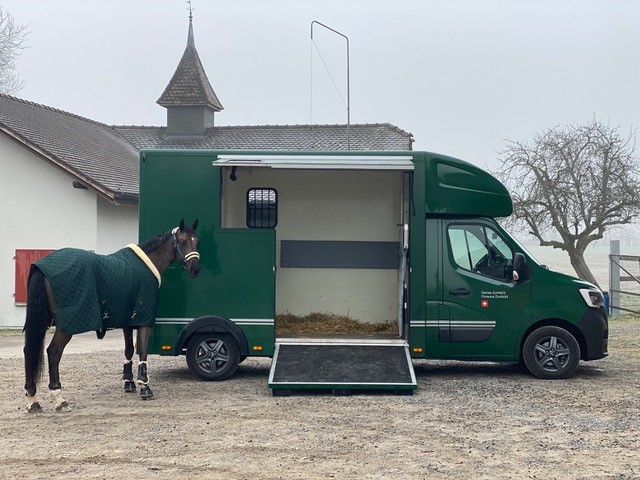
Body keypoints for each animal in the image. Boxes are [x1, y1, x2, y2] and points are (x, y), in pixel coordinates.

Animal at [23, 221, 200, 412]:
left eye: (196, 241)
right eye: (182, 241)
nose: (195, 268)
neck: (145, 265)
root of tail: (41, 266)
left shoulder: (128, 321)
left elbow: (129, 350)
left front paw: (129, 382)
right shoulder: (144, 320)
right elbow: (143, 351)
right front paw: (144, 386)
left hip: (41, 323)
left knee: (28, 350)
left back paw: (33, 399)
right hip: (66, 326)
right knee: (54, 352)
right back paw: (59, 398)